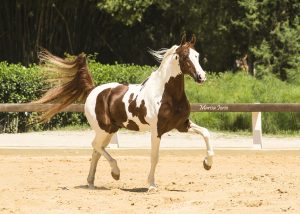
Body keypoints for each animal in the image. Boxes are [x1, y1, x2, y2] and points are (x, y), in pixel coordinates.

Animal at [34, 34, 213, 191]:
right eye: (185, 56)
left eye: (197, 55)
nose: (201, 76)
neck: (166, 94)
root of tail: (93, 90)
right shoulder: (156, 130)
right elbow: (154, 157)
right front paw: (151, 185)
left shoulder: (182, 125)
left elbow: (206, 133)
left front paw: (207, 164)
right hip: (104, 129)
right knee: (96, 146)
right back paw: (115, 172)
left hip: (110, 130)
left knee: (97, 150)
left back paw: (91, 182)